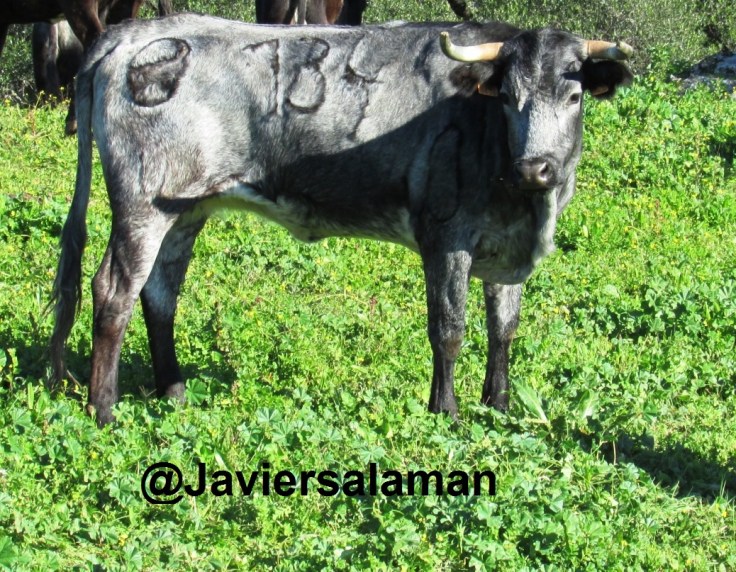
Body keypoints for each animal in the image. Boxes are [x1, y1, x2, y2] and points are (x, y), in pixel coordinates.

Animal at [48, 14, 633, 427]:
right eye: (509, 97)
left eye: (574, 95)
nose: (534, 167)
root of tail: (134, 34)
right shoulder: (446, 236)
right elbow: (449, 328)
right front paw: (445, 411)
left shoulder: (504, 248)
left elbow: (504, 329)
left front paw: (500, 405)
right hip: (141, 204)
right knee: (113, 291)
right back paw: (105, 410)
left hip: (185, 207)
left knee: (160, 294)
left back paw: (173, 392)